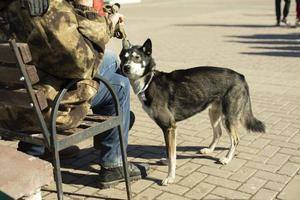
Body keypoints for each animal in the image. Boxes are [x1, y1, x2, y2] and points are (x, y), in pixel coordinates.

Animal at [119, 38, 264, 186]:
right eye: (123, 57)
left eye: (137, 57)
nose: (125, 67)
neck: (149, 81)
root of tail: (240, 76)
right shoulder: (170, 129)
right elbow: (170, 152)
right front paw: (167, 163)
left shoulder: (169, 127)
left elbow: (171, 154)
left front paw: (170, 176)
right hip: (213, 114)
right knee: (218, 133)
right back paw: (209, 150)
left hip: (228, 118)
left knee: (235, 139)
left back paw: (227, 159)